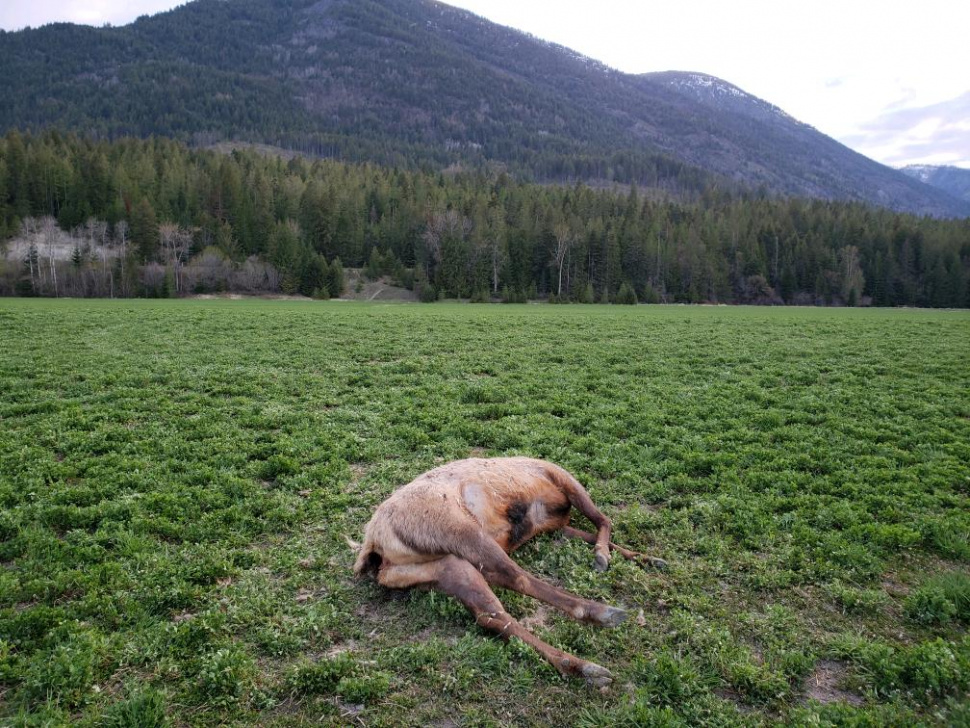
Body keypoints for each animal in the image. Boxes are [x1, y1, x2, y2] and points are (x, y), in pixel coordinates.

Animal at [353, 457, 667, 688]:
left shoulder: (555, 526)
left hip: (445, 568)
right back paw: (601, 614)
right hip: (465, 531)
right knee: (517, 577)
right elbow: (604, 520)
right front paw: (602, 558)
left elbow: (598, 532)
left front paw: (648, 559)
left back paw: (582, 667)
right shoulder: (563, 482)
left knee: (490, 614)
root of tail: (373, 544)